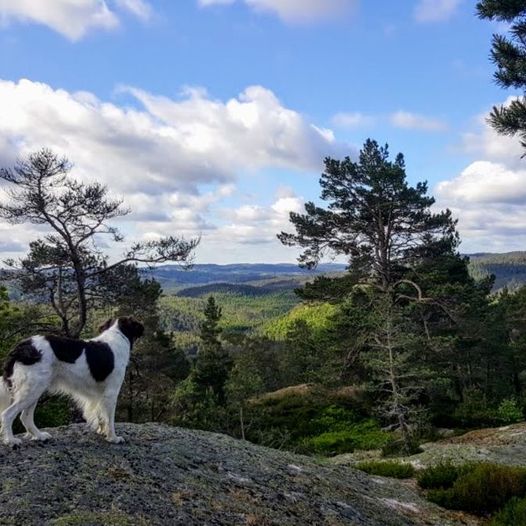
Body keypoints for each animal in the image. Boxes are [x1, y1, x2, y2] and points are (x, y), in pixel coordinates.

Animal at [0, 318, 144, 450]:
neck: (117, 335)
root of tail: (21, 347)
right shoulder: (111, 392)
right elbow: (110, 419)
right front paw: (113, 438)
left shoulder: (100, 394)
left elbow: (101, 415)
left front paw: (102, 432)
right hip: (32, 388)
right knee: (7, 414)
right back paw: (11, 440)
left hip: (36, 388)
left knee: (25, 417)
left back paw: (40, 436)